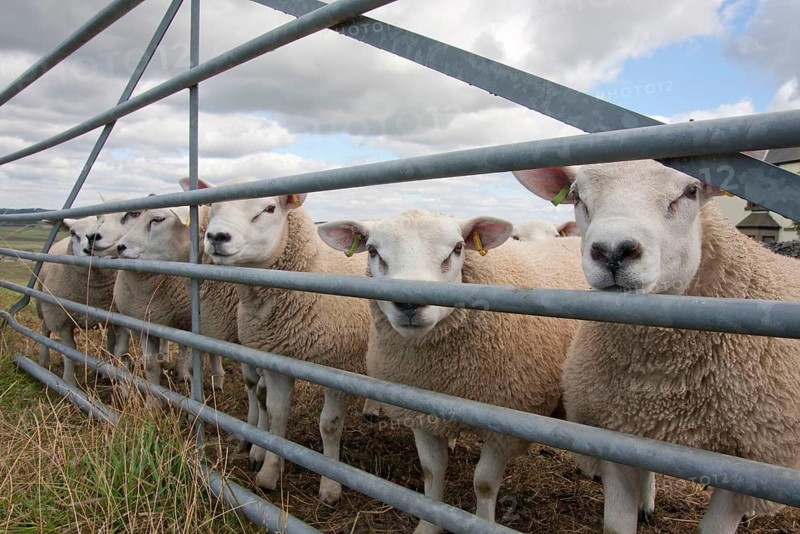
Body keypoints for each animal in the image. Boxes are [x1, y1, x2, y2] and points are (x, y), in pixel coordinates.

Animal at [36, 217, 121, 386]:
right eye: (73, 232)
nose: (89, 250)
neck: (92, 297)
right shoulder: (62, 319)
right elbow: (69, 348)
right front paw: (69, 380)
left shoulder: (113, 318)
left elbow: (110, 345)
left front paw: (108, 373)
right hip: (46, 306)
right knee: (45, 330)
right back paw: (43, 360)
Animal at [202, 176, 370, 505]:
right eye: (213, 205)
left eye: (268, 208)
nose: (216, 236)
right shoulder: (277, 361)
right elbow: (277, 414)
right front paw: (269, 473)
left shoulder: (339, 368)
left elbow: (329, 426)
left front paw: (330, 485)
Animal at [318, 209, 587, 533]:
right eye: (372, 250)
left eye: (458, 248)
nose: (409, 302)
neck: (447, 374)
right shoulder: (422, 413)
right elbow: (431, 471)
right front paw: (428, 524)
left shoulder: (505, 425)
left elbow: (484, 483)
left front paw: (483, 523)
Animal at [514, 159, 800, 534]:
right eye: (576, 196)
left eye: (690, 191)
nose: (613, 251)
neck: (666, 380)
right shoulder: (615, 436)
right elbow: (616, 523)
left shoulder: (747, 463)